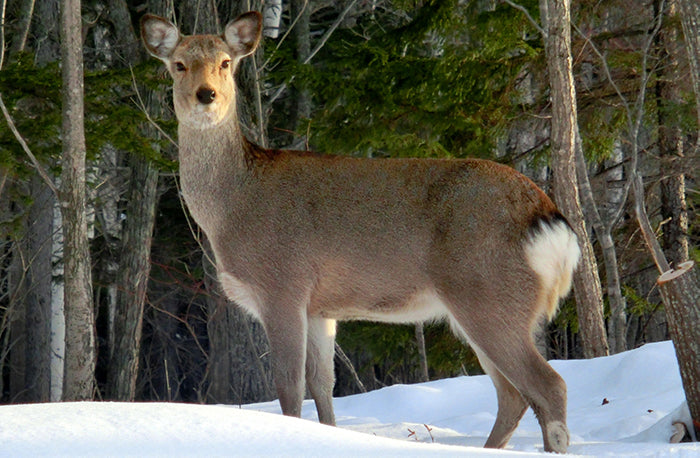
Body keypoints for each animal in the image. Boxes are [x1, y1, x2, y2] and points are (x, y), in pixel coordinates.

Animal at [141, 10, 580, 454]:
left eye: (226, 62)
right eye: (179, 64)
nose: (206, 95)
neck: (232, 207)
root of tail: (549, 218)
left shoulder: (283, 285)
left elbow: (289, 388)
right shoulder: (319, 308)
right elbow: (323, 386)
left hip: (488, 292)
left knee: (549, 385)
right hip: (488, 305)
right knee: (513, 395)